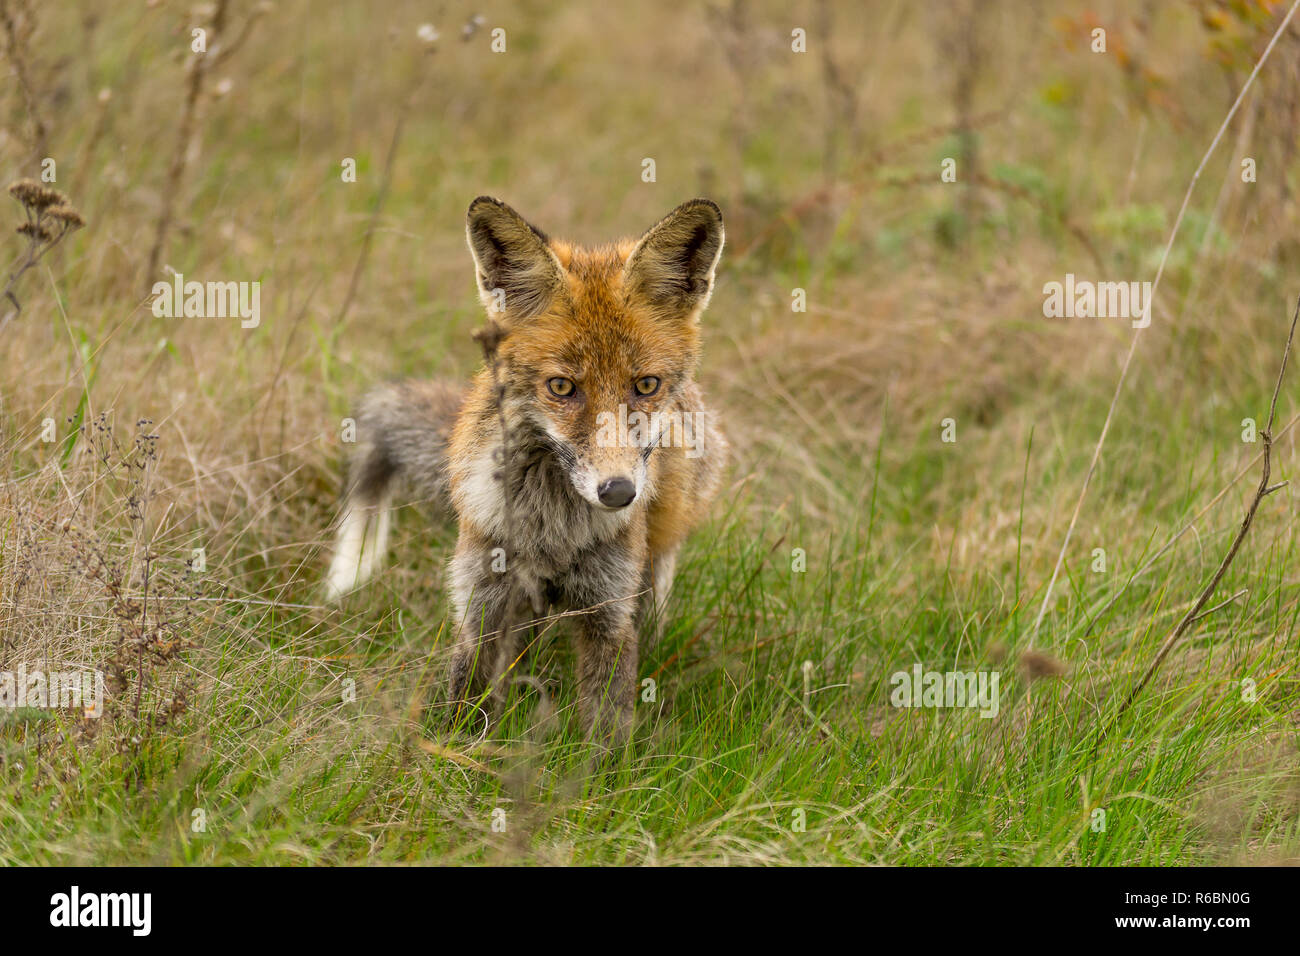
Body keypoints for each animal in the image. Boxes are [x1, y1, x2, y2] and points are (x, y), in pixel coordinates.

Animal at [325, 197, 733, 743]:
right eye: (561, 387)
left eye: (646, 385)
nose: (618, 492)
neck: (552, 532)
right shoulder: (482, 599)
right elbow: (466, 698)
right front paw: (453, 751)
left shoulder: (610, 612)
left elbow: (606, 731)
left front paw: (603, 767)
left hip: (656, 556)